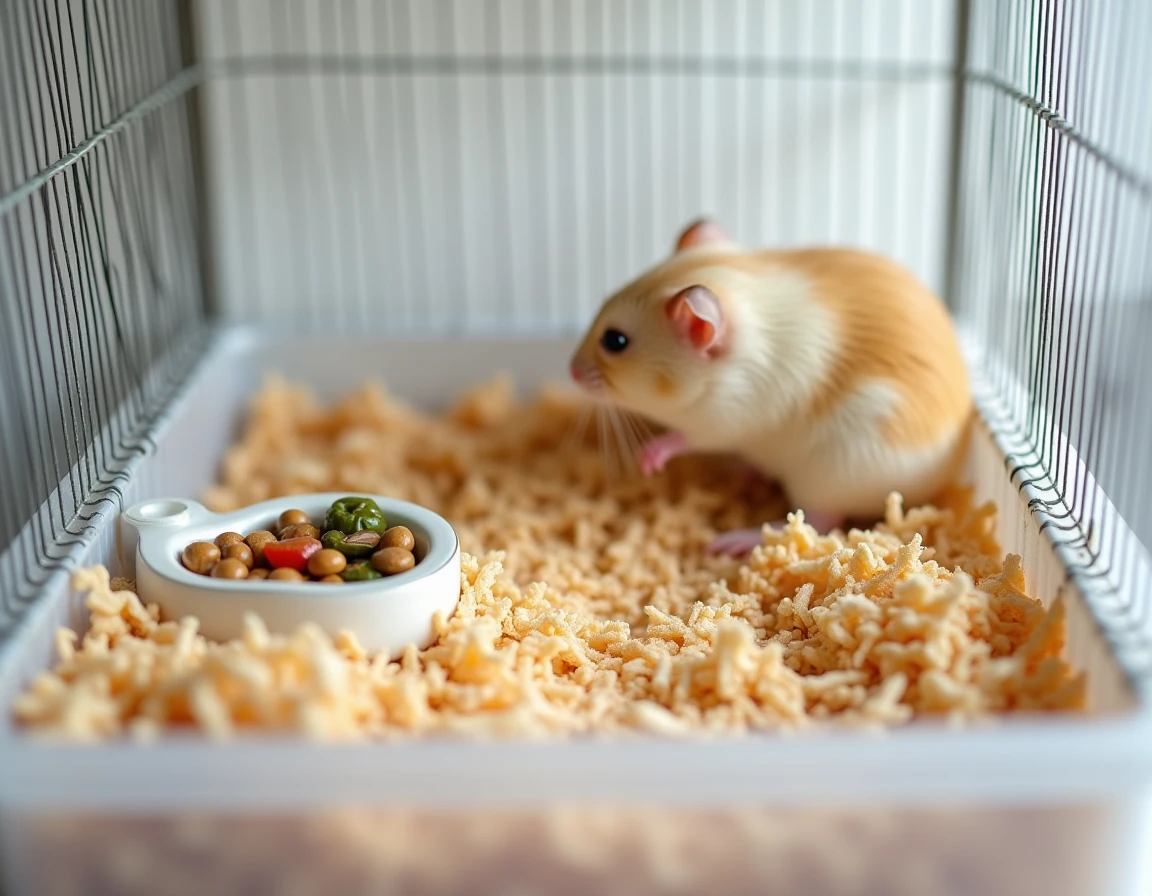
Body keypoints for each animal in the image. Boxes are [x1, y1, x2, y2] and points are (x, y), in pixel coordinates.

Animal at [569, 218, 973, 556]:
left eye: (615, 341)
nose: (571, 371)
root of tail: (937, 482)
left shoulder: (725, 418)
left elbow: (685, 438)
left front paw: (649, 458)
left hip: (828, 475)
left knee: (820, 521)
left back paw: (740, 539)